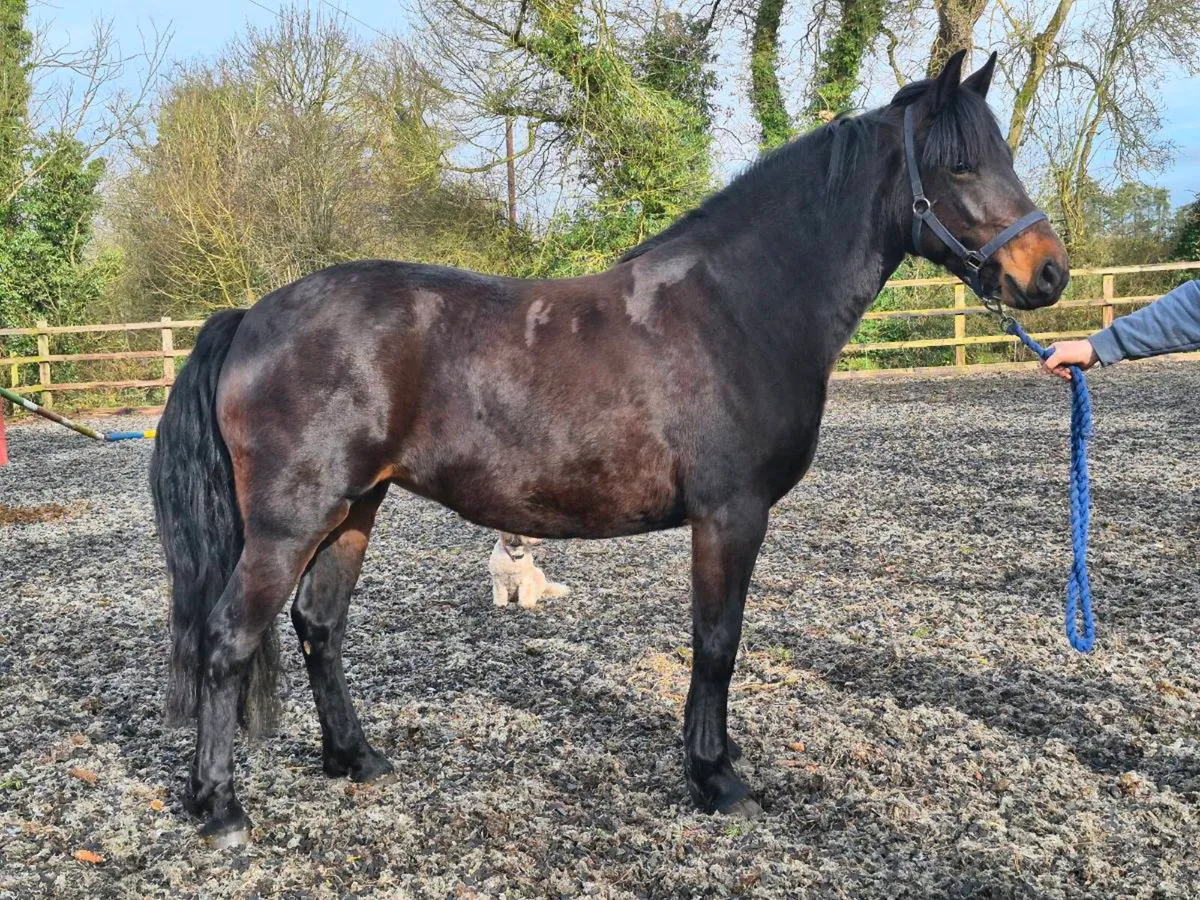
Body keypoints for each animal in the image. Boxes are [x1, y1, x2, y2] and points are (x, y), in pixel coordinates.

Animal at [150, 50, 1069, 846]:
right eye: (958, 166)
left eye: (1002, 155)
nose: (1049, 273)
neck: (738, 308)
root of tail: (253, 315)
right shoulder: (730, 515)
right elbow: (716, 641)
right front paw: (716, 778)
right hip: (290, 522)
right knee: (229, 638)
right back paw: (220, 808)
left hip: (355, 507)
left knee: (320, 625)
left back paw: (355, 759)